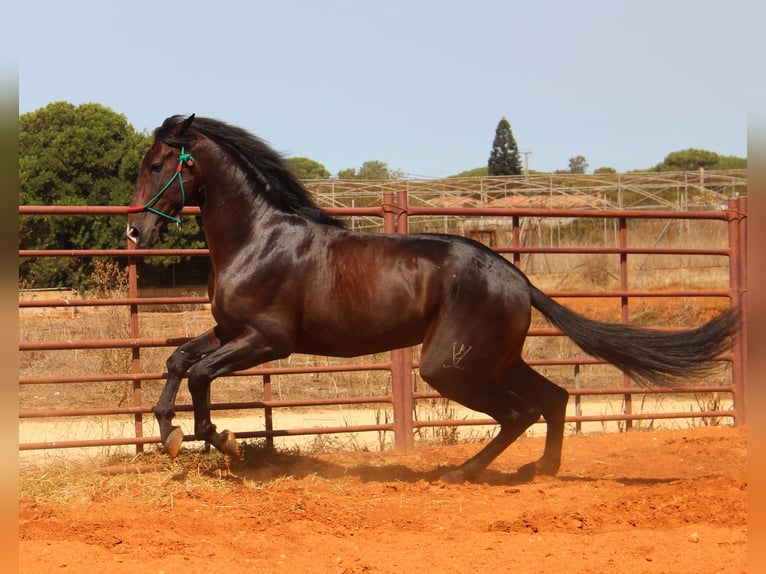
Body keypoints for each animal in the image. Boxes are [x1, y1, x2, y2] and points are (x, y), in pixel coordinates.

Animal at [129, 115, 740, 484]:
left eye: (156, 165)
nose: (136, 232)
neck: (259, 238)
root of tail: (518, 279)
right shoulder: (231, 332)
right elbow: (178, 360)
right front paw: (169, 433)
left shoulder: (267, 341)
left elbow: (201, 374)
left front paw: (221, 439)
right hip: (489, 359)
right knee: (554, 397)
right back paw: (539, 471)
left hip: (450, 366)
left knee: (519, 412)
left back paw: (462, 473)